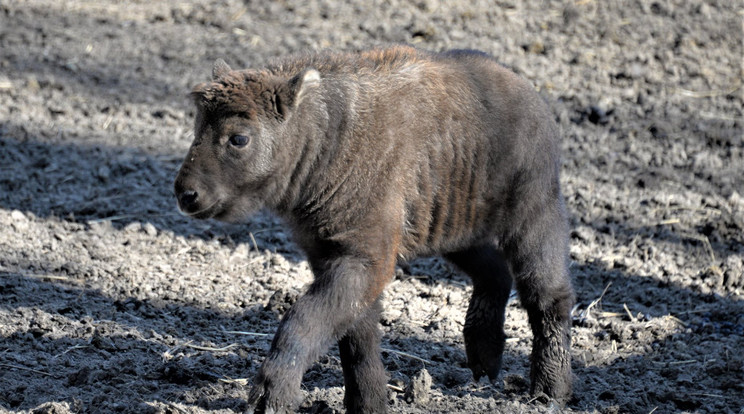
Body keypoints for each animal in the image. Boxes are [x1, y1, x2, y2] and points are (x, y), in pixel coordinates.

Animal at [176, 46, 576, 414]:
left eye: (239, 138)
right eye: (198, 127)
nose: (185, 193)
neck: (327, 135)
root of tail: (528, 92)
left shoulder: (365, 258)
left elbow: (304, 319)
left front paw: (269, 399)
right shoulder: (331, 257)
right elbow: (356, 338)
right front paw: (368, 404)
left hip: (533, 218)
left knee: (548, 297)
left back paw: (549, 393)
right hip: (456, 232)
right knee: (494, 271)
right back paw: (485, 358)